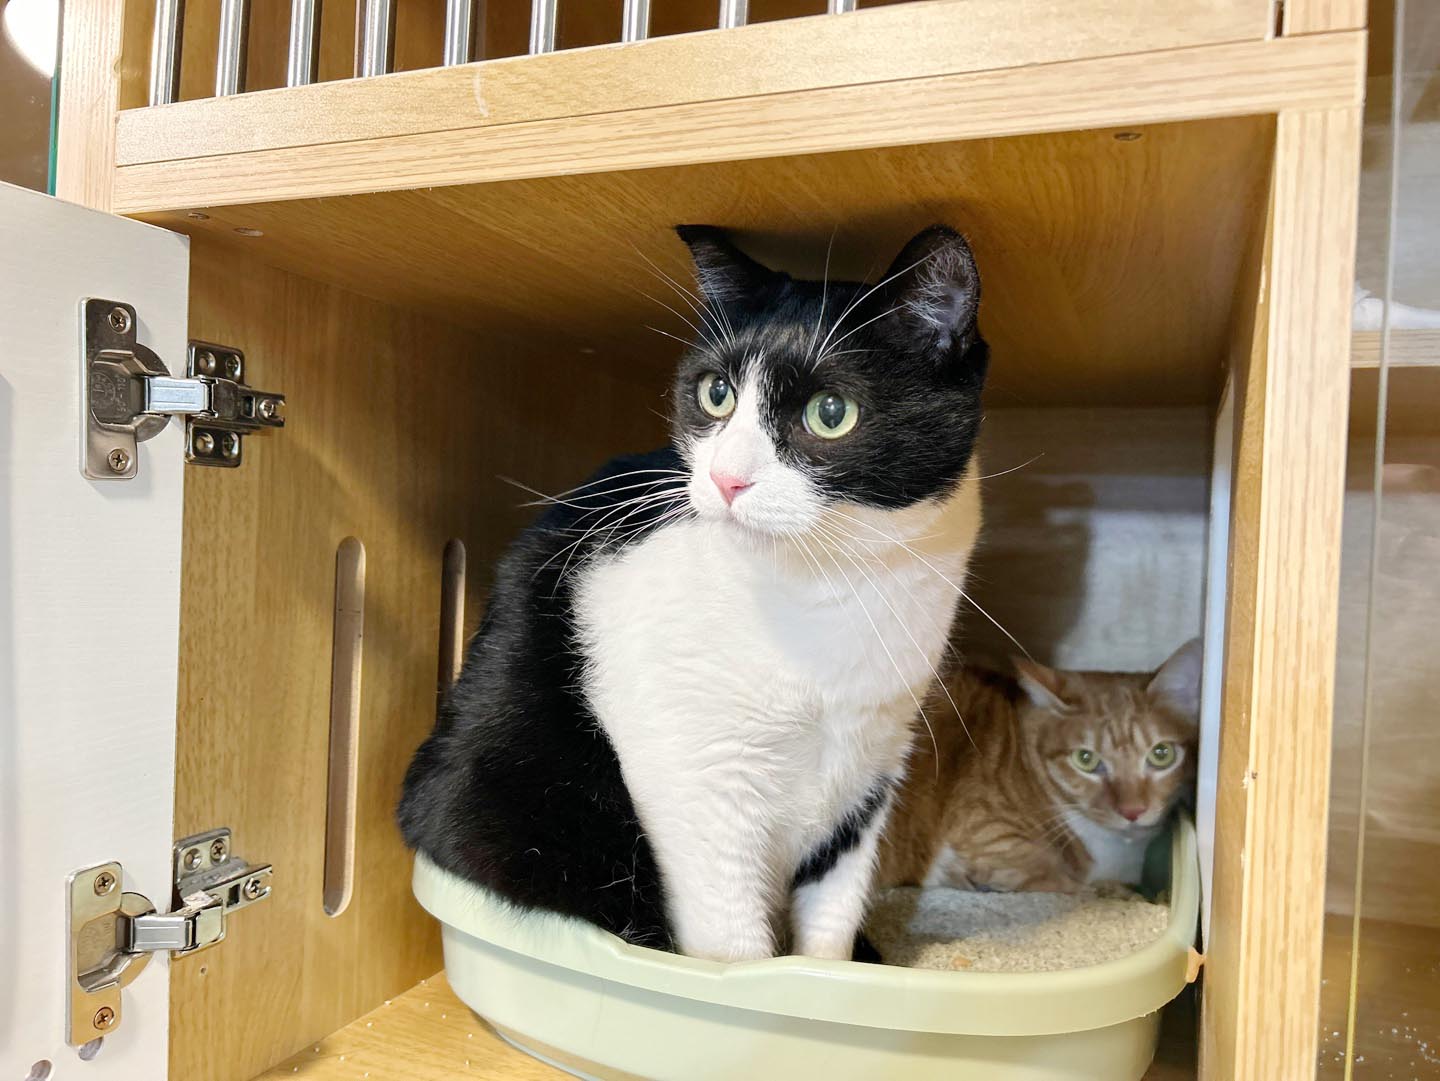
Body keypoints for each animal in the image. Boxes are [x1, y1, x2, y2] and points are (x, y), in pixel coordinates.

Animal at [398, 224, 990, 961]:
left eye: (831, 413)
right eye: (716, 394)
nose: (727, 478)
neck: (826, 588)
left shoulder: (875, 757)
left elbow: (831, 916)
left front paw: (830, 976)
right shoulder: (692, 769)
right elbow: (732, 941)